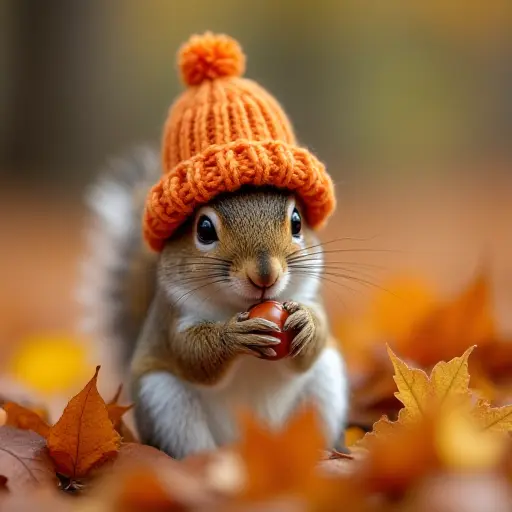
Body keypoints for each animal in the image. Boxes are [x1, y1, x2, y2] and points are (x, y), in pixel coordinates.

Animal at [81, 33, 348, 456]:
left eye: (297, 222)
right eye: (204, 229)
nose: (265, 275)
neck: (238, 305)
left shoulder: (310, 292)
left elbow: (316, 335)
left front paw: (306, 322)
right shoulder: (173, 315)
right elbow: (192, 354)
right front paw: (231, 336)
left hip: (327, 383)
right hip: (165, 401)